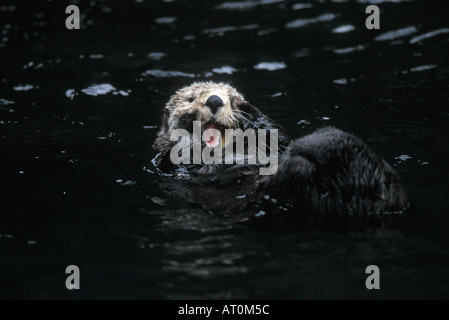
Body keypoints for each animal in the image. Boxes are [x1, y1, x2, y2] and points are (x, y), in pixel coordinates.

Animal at [152, 81, 408, 229]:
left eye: (228, 99)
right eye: (190, 99)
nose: (215, 100)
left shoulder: (275, 141)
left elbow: (277, 137)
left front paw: (245, 108)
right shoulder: (172, 165)